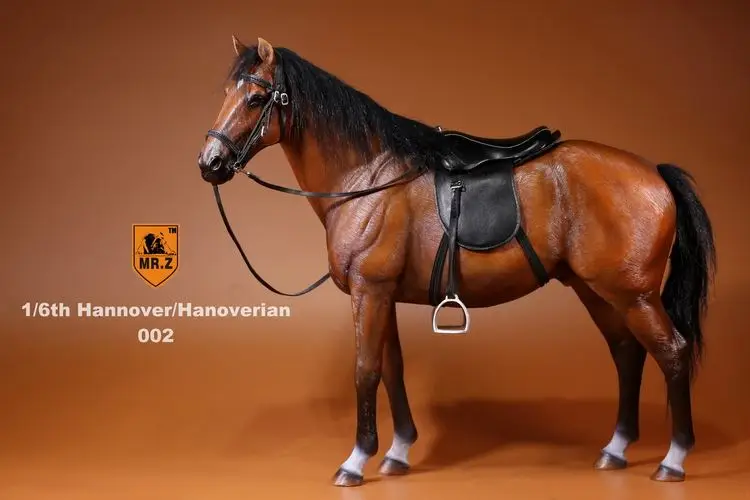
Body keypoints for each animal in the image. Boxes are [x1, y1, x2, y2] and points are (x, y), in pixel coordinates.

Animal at [196, 36, 716, 487]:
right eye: (225, 93)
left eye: (256, 98)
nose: (210, 163)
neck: (368, 179)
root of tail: (655, 173)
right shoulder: (383, 296)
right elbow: (392, 369)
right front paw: (398, 451)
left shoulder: (370, 292)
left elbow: (365, 369)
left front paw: (356, 460)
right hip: (595, 290)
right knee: (628, 352)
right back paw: (616, 448)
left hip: (634, 294)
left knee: (671, 352)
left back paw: (673, 459)